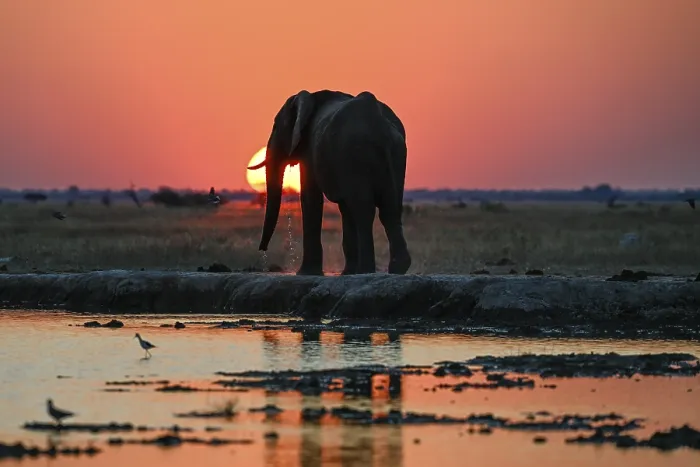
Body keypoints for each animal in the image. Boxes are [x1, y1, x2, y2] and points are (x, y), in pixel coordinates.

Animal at [247, 89, 411, 276]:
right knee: (390, 209)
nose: (262, 250)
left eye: (276, 126)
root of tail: (379, 125)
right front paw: (347, 273)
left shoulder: (311, 149)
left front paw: (306, 273)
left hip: (355, 155)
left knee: (363, 211)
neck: (309, 97)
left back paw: (365, 270)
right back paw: (397, 268)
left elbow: (311, 197)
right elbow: (345, 208)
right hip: (397, 156)